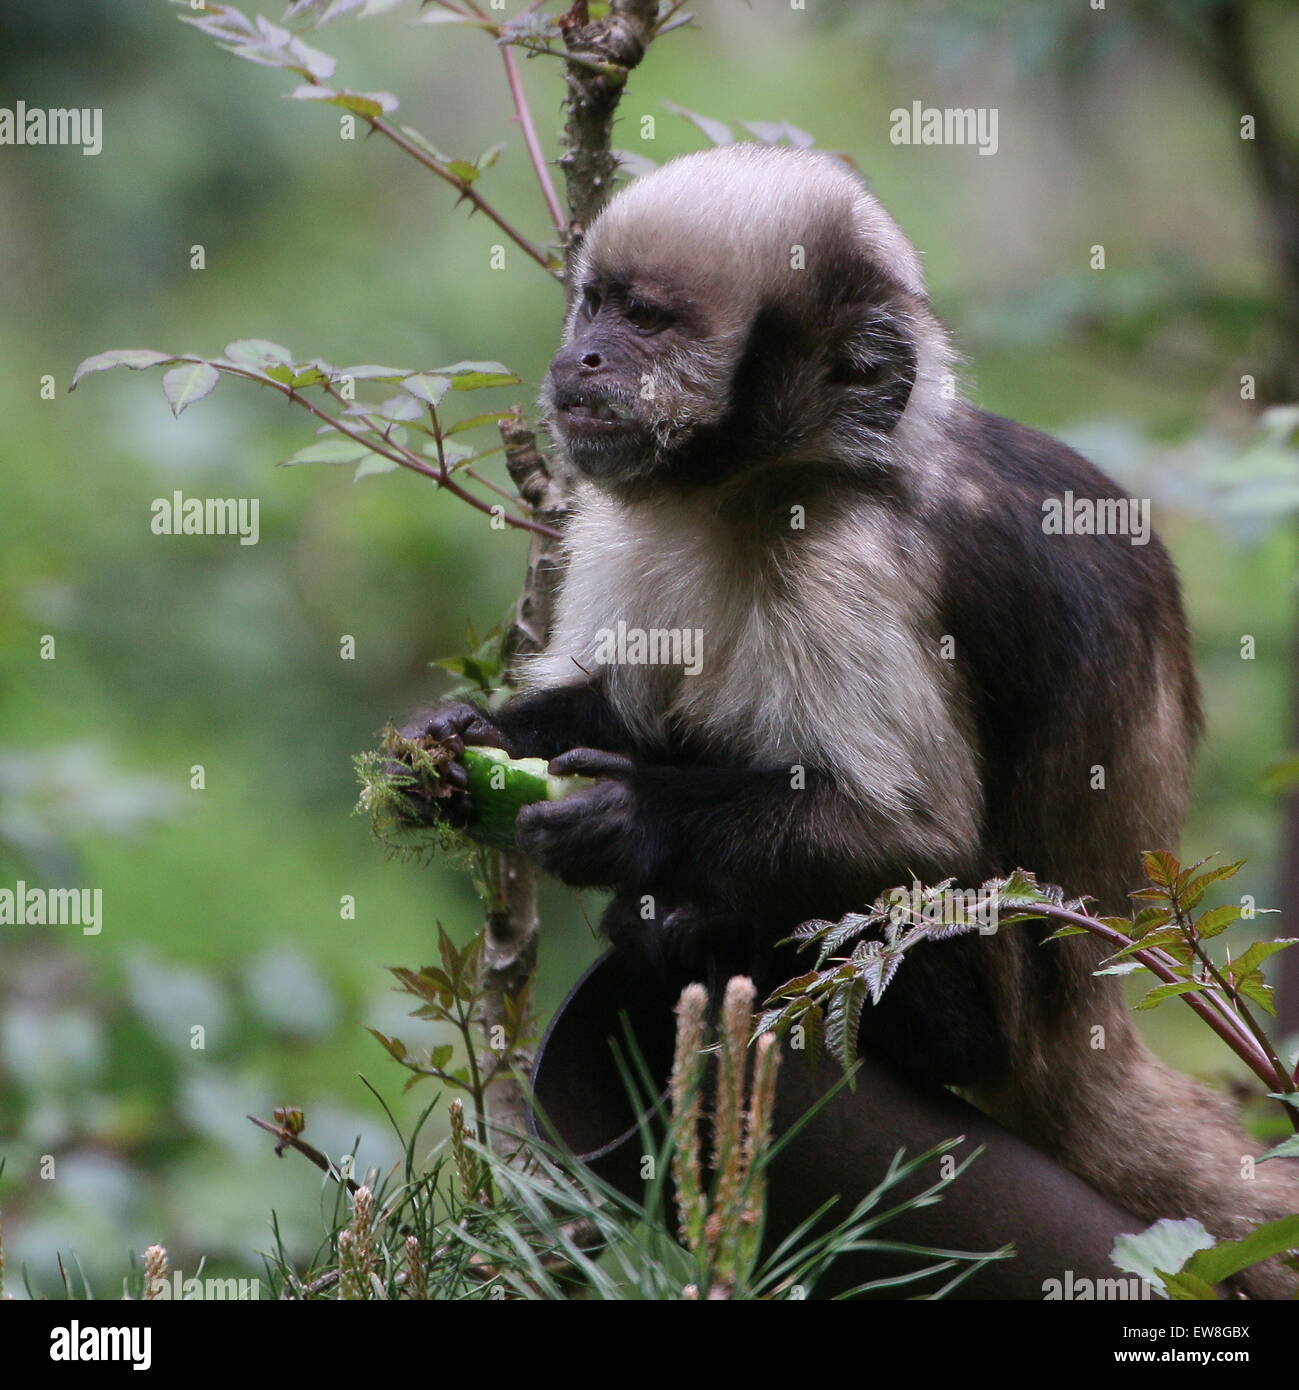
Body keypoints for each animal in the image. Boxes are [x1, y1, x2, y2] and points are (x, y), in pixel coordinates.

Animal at [406, 144, 1299, 1295]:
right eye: (597, 305)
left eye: (648, 321)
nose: (586, 355)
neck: (757, 483)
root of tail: (1090, 1023)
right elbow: (612, 700)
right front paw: (467, 748)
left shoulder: (854, 555)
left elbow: (919, 839)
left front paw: (625, 818)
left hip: (1004, 1016)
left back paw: (711, 930)